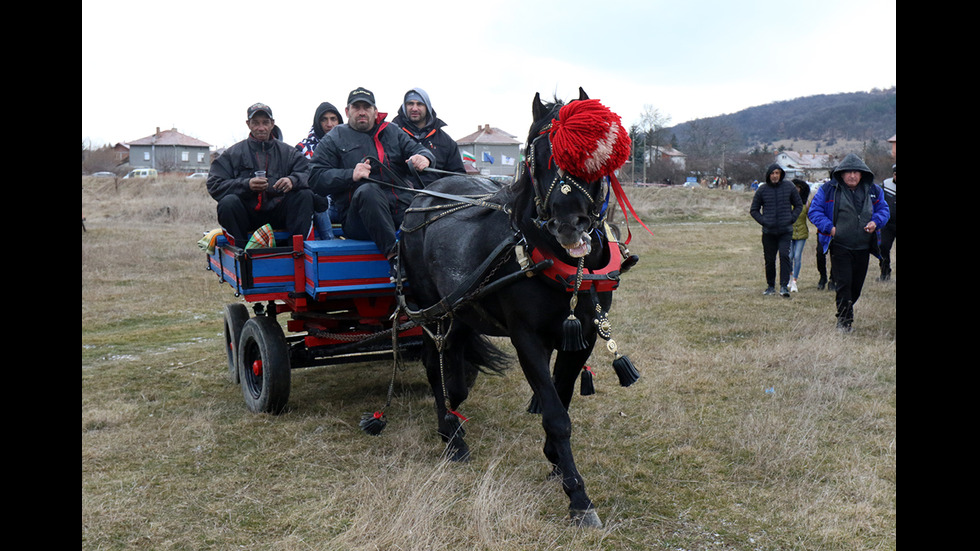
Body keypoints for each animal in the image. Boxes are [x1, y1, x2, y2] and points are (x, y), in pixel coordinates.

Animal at [396, 88, 636, 528]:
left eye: (590, 154)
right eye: (535, 154)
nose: (568, 224)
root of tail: (424, 195)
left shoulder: (582, 336)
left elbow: (562, 396)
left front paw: (556, 460)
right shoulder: (527, 339)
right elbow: (556, 414)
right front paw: (578, 497)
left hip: (460, 310)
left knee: (454, 368)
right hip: (431, 309)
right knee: (434, 365)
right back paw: (452, 437)